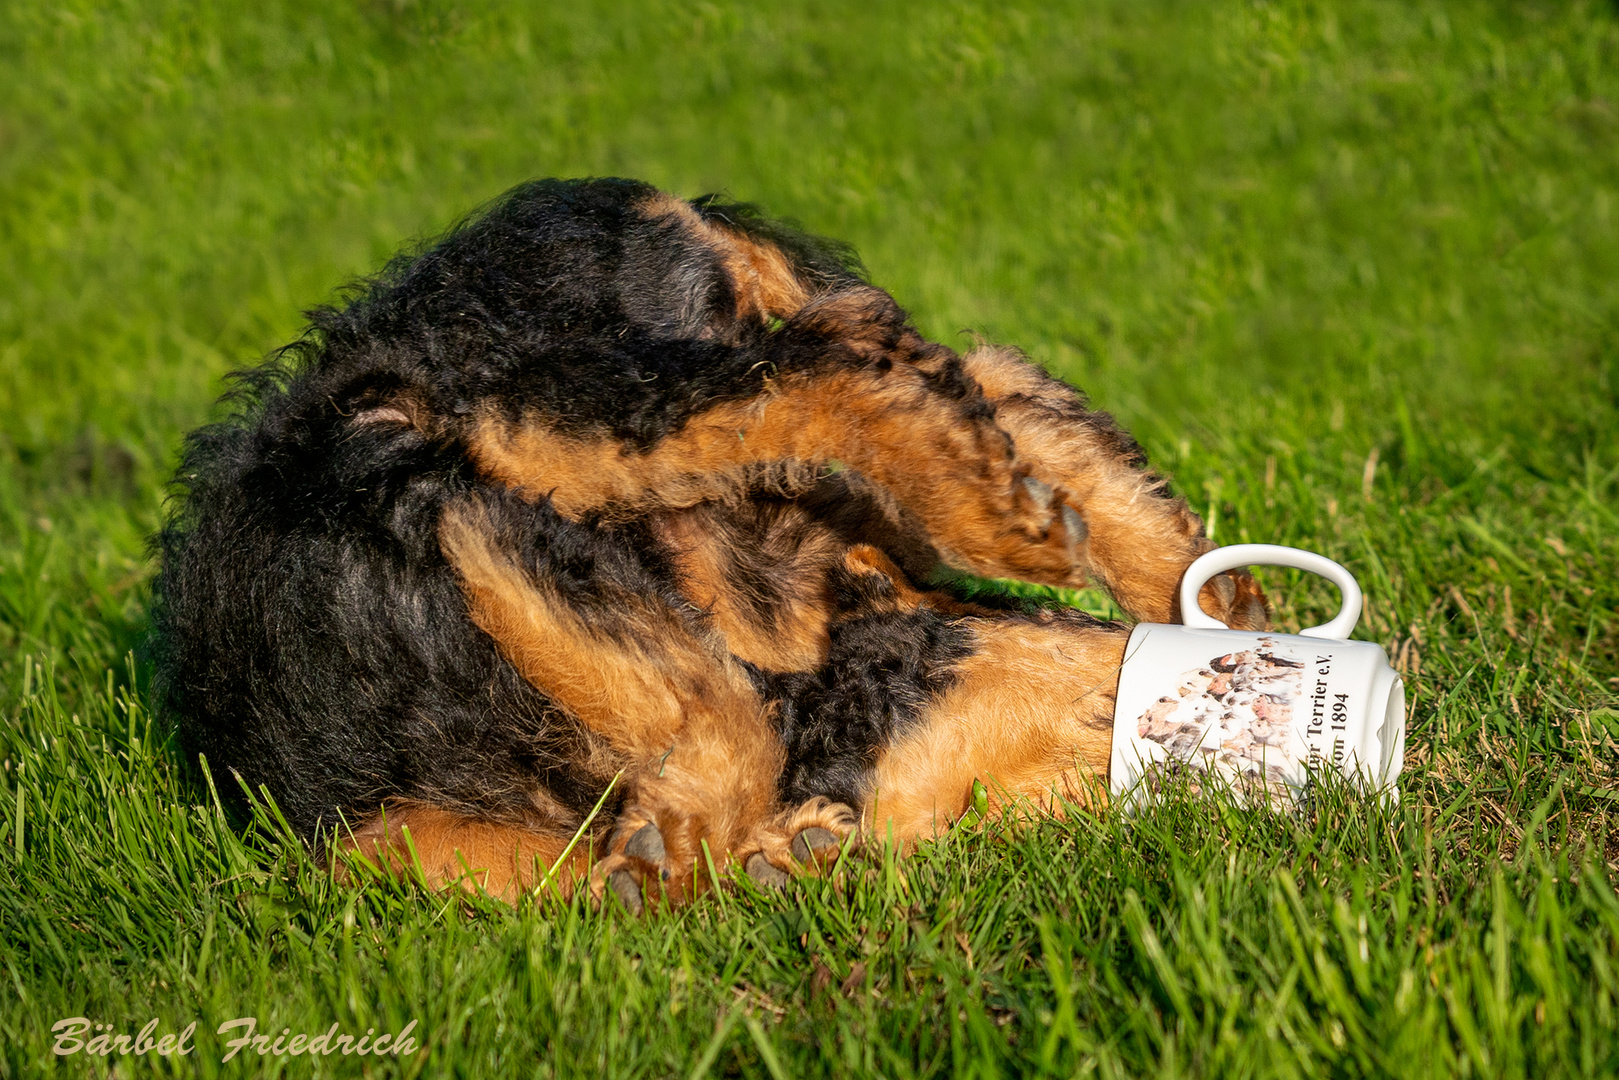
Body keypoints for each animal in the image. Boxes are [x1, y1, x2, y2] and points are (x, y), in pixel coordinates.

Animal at [152, 179, 1262, 913]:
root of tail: (649, 196)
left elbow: (701, 712)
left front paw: (711, 846)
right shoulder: (460, 531)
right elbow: (687, 719)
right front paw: (721, 851)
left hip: (568, 398)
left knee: (876, 366)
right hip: (517, 403)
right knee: (879, 365)